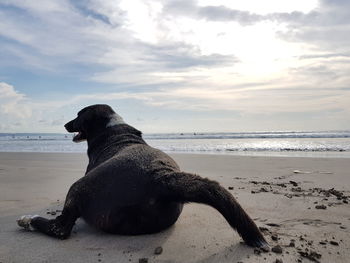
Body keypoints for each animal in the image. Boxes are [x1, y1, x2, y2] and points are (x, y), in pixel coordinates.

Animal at [16, 104, 268, 250]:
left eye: (78, 115)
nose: (65, 124)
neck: (110, 127)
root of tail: (162, 179)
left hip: (80, 186)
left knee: (61, 229)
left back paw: (29, 220)